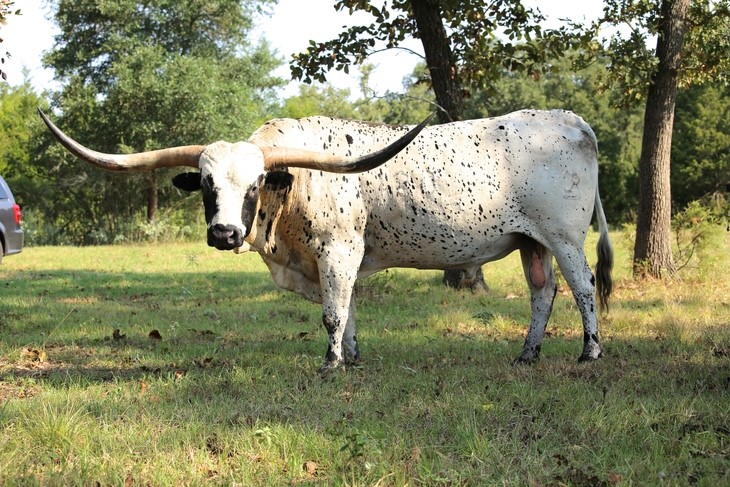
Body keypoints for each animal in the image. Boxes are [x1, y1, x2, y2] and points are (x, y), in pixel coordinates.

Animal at [39, 108, 613, 372]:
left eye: (254, 183)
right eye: (204, 183)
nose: (224, 233)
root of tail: (571, 121)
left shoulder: (338, 251)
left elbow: (334, 312)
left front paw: (332, 362)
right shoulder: (333, 261)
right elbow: (349, 307)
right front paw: (353, 357)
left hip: (564, 235)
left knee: (583, 287)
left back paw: (589, 353)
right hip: (530, 241)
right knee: (543, 292)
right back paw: (527, 355)